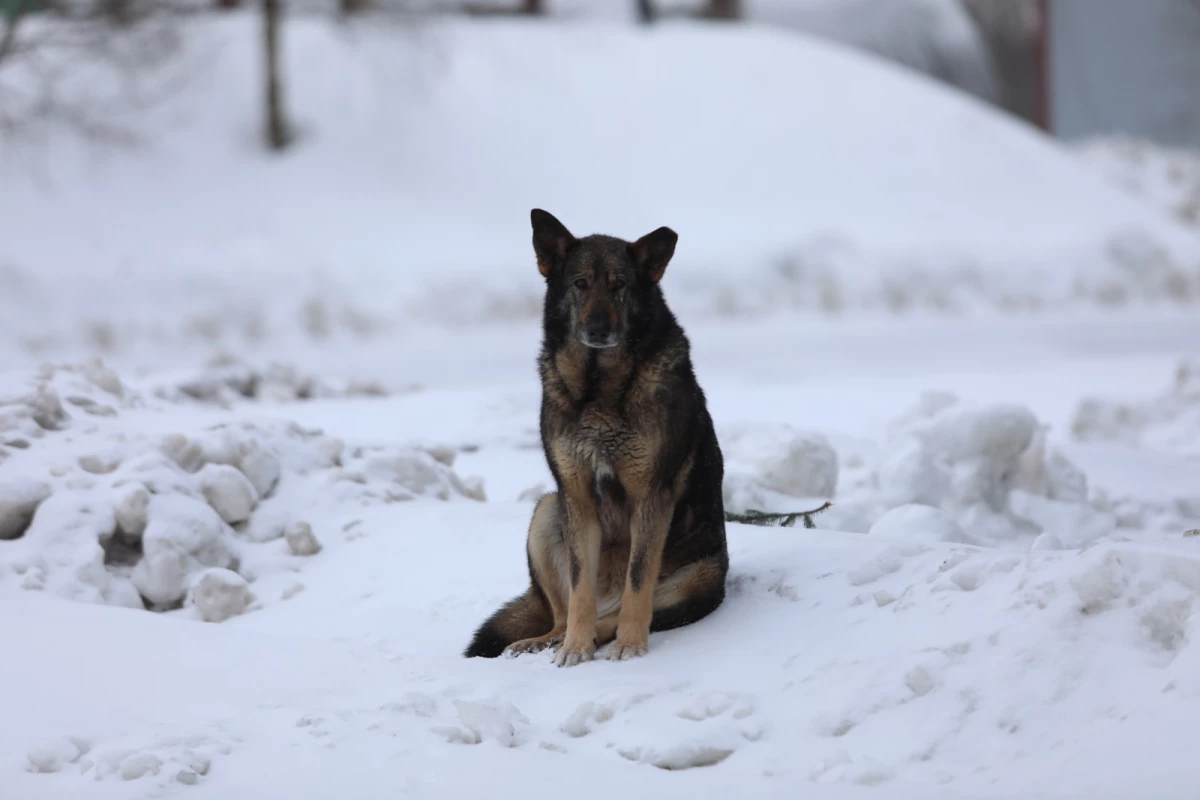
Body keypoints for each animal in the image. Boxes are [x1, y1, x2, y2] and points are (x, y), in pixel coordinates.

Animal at [460, 209, 724, 666]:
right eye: (580, 283)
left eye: (619, 285)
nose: (598, 329)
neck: (599, 386)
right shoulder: (576, 494)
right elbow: (579, 589)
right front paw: (575, 649)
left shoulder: (651, 497)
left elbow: (638, 583)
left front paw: (631, 644)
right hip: (548, 510)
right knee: (562, 613)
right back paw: (546, 640)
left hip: (695, 579)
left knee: (624, 610)